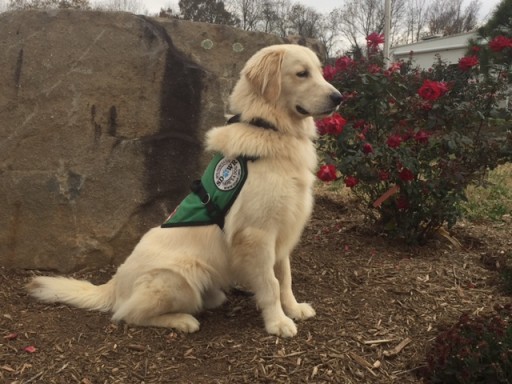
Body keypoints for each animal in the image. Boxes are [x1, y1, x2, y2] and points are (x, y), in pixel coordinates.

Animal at [27, 45, 340, 338]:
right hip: (181, 275)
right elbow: (271, 283)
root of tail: (114, 283)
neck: (268, 127)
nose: (339, 98)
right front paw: (278, 322)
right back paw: (182, 320)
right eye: (301, 73)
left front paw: (294, 308)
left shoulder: (282, 231)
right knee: (127, 313)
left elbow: (285, 277)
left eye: (319, 70)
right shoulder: (257, 234)